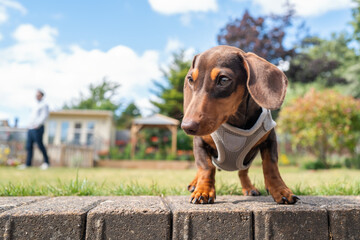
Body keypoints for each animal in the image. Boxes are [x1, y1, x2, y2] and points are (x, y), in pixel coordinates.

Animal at [180, 45, 298, 204]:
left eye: (224, 79)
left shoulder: (270, 139)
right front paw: (202, 191)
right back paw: (194, 184)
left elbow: (271, 165)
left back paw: (249, 188)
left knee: (243, 172)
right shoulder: (200, 142)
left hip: (245, 160)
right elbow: (206, 167)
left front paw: (281, 190)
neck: (236, 121)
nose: (187, 126)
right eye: (191, 79)